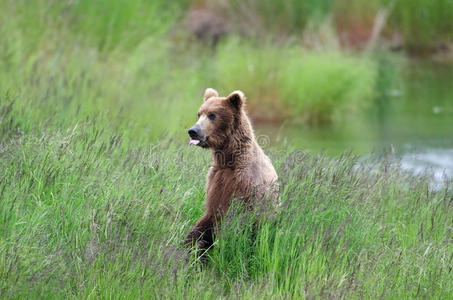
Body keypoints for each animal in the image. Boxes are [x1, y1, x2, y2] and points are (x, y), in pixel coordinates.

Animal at [185, 88, 278, 254]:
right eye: (199, 113)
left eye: (212, 115)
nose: (193, 131)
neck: (230, 160)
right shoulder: (216, 180)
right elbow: (208, 216)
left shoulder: (244, 183)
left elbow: (234, 220)